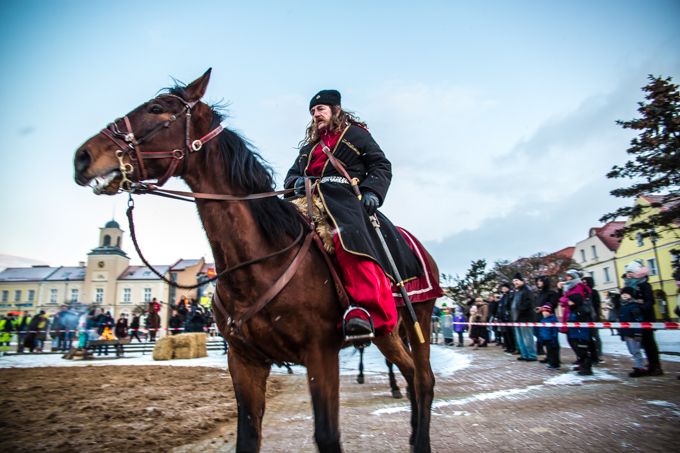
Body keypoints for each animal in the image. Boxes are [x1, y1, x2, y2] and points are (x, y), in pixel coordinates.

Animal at [73, 68, 436, 452]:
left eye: (156, 108)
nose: (83, 157)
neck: (259, 262)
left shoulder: (321, 355)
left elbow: (327, 435)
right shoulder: (244, 361)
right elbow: (248, 435)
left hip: (418, 320)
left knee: (423, 379)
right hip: (388, 333)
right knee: (411, 373)